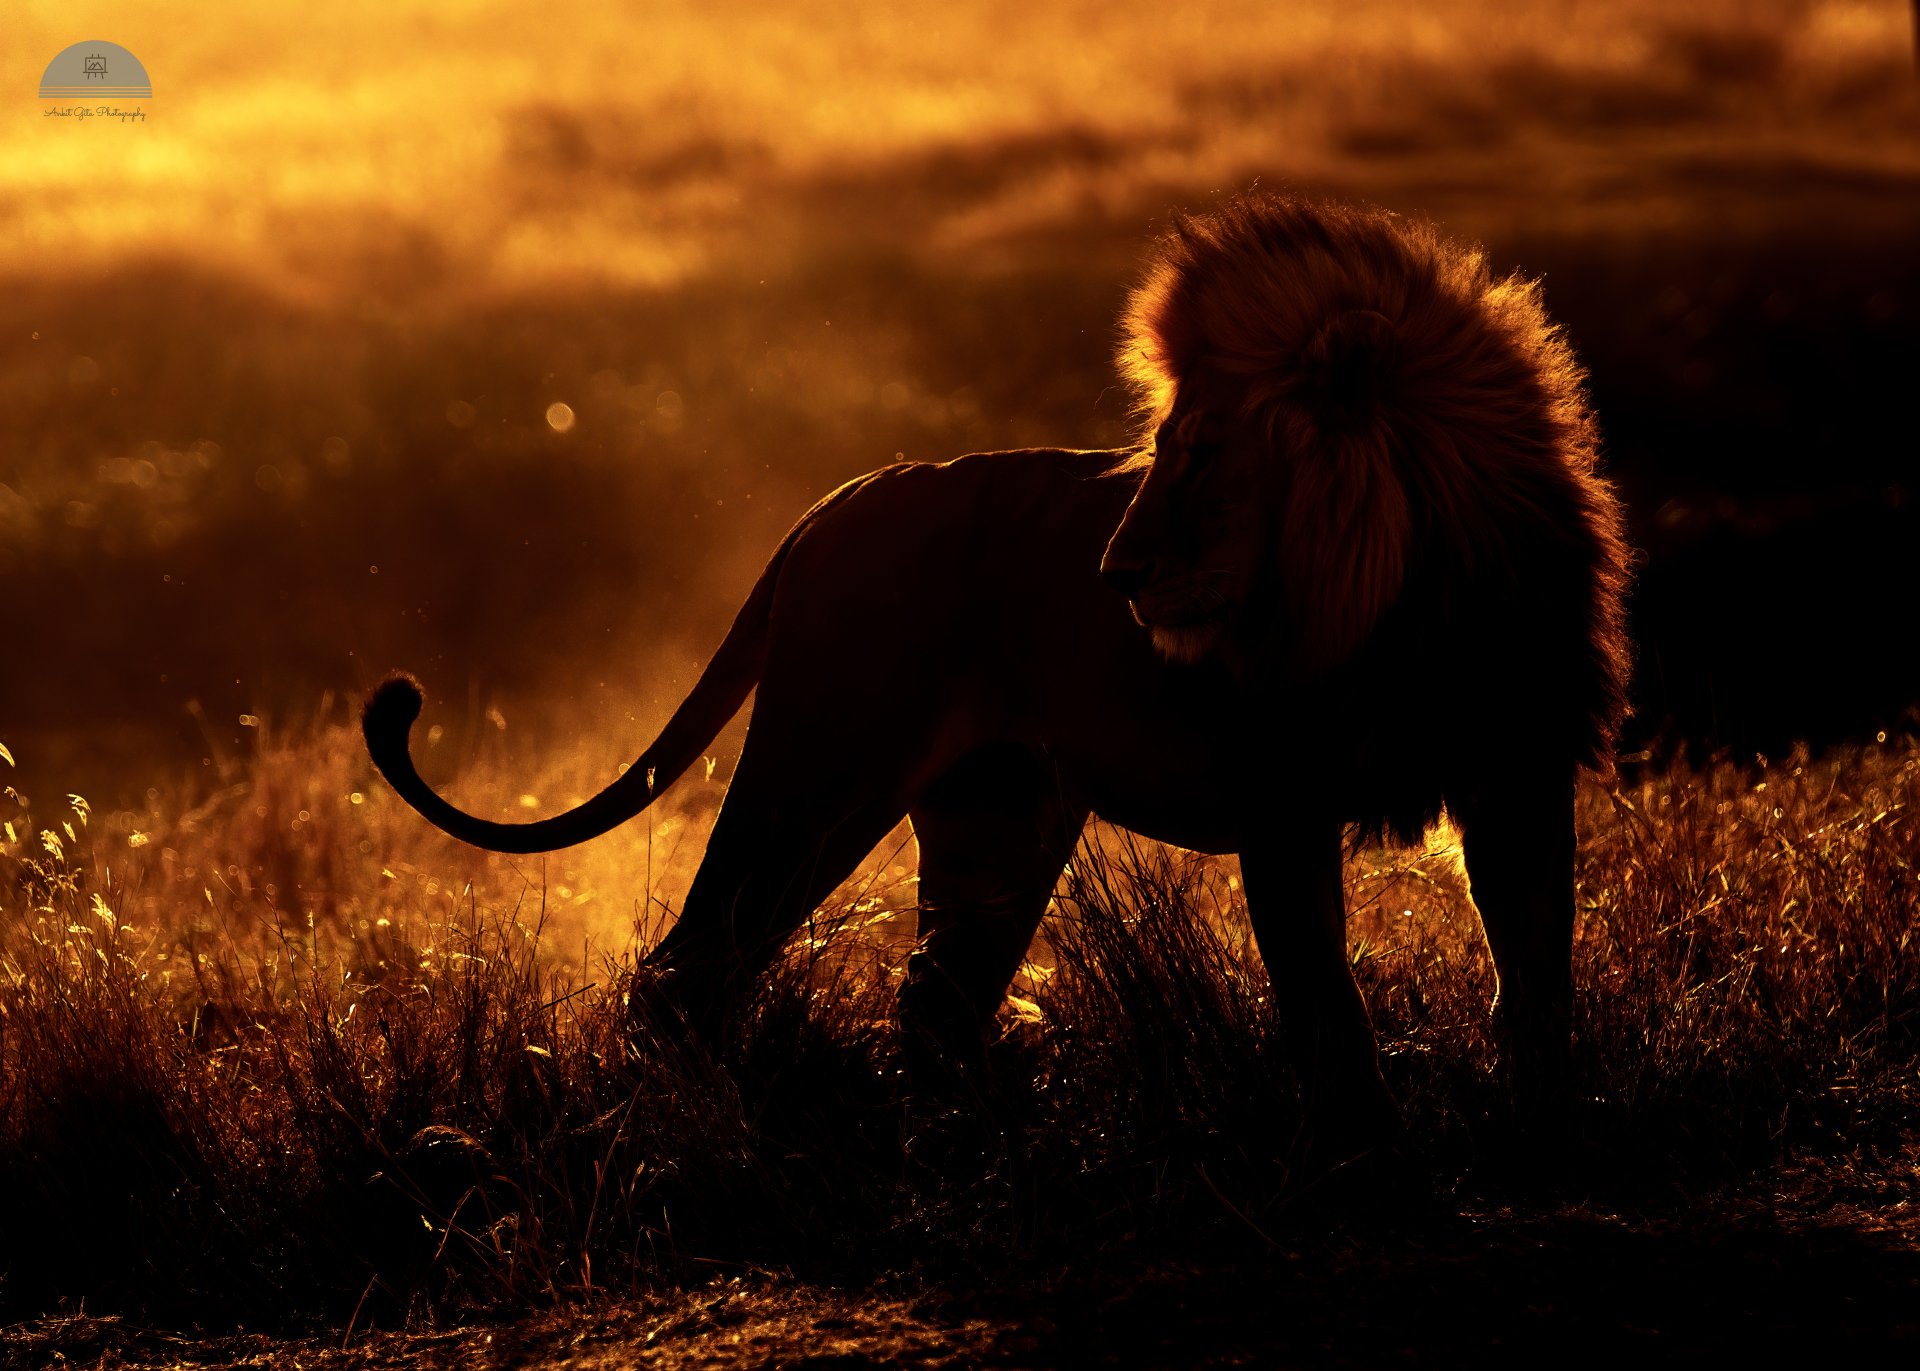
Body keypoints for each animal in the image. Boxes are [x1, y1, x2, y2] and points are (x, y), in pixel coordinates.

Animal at [365, 194, 1631, 1166]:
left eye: (1206, 454)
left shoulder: (1521, 780)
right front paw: (1370, 1154)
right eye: (1161, 449)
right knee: (687, 974)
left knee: (932, 1006)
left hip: (997, 818)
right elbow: (1329, 1002)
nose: (1115, 575)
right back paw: (715, 1134)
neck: (1411, 593)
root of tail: (837, 502)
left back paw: (991, 1150)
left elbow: (1539, 978)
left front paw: (1551, 1136)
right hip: (824, 770)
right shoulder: (1282, 804)